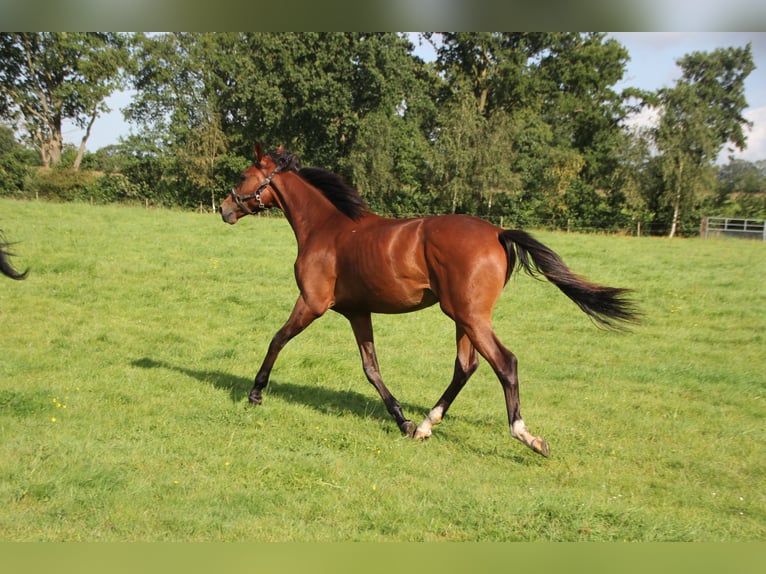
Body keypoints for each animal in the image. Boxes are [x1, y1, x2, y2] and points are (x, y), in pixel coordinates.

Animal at [219, 146, 640, 462]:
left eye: (242, 176)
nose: (224, 209)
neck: (327, 229)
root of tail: (498, 231)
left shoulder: (312, 303)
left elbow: (277, 339)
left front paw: (255, 393)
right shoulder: (357, 312)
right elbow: (371, 368)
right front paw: (403, 421)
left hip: (469, 316)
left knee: (504, 363)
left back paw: (527, 436)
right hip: (462, 318)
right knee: (466, 366)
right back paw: (425, 424)